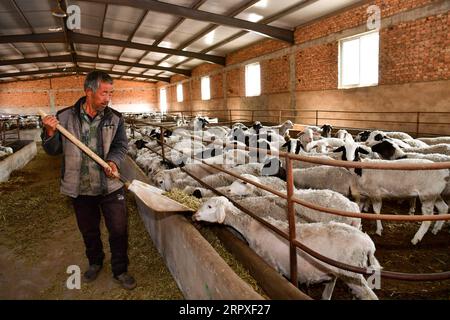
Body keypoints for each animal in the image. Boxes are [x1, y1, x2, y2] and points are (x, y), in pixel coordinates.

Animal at [193, 198, 380, 300]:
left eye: (210, 206)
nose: (195, 215)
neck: (252, 227)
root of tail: (369, 243)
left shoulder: (271, 264)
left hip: (353, 273)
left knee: (370, 296)